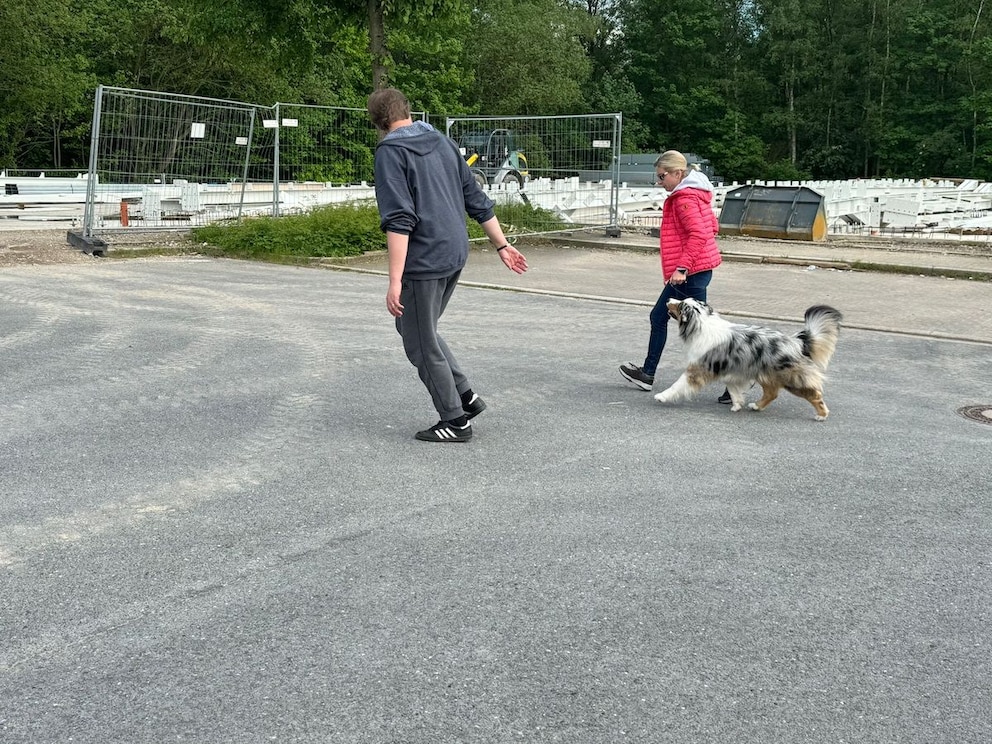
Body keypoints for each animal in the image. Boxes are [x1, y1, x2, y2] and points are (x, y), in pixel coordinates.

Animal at [656, 300, 840, 422]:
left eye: (680, 305)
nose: (668, 299)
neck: (700, 325)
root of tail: (795, 341)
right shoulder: (729, 370)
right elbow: (734, 391)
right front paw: (737, 405)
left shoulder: (696, 370)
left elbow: (677, 385)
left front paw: (662, 396)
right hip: (764, 374)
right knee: (772, 393)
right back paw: (756, 406)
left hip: (790, 378)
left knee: (814, 394)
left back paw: (821, 415)